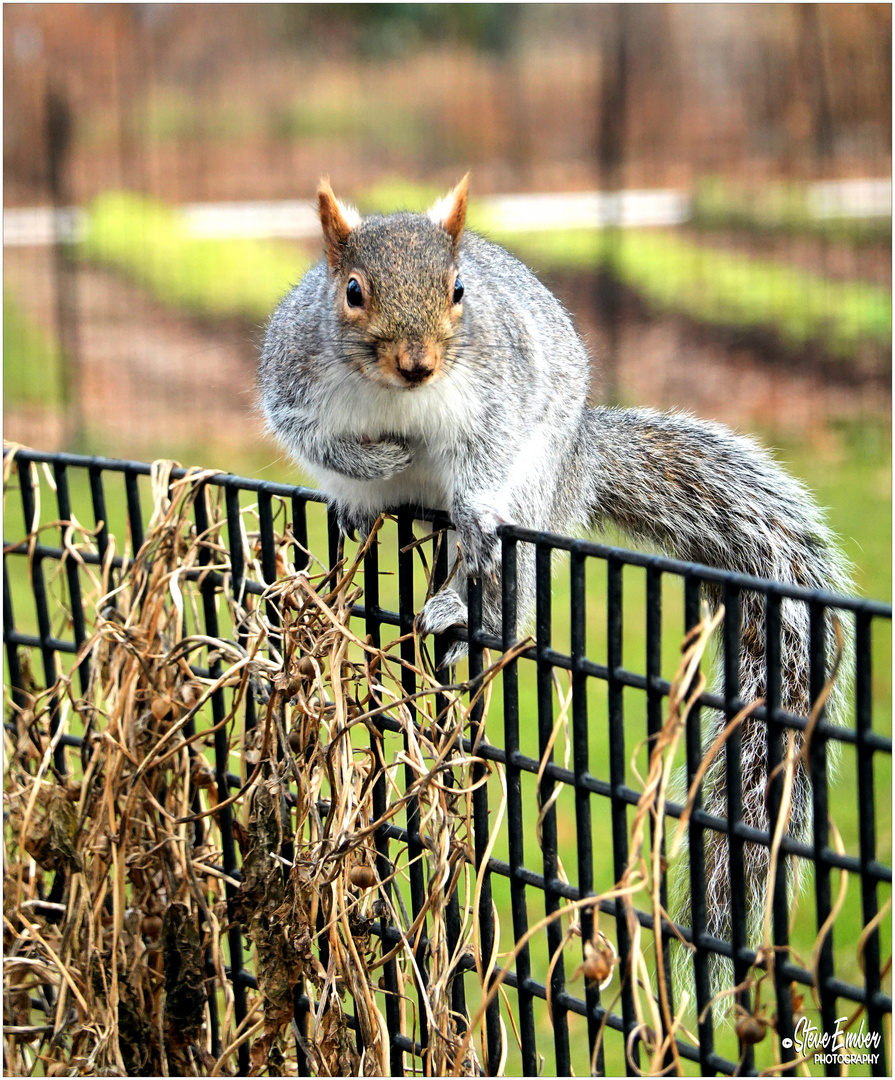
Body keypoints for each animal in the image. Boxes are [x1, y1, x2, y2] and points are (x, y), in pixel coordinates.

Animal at [258, 172, 850, 989]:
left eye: (458, 290)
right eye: (351, 292)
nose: (418, 364)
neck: (395, 399)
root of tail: (580, 461)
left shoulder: (493, 401)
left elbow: (483, 458)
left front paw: (465, 501)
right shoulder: (294, 381)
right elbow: (317, 439)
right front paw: (374, 461)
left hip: (534, 495)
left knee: (509, 581)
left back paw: (468, 607)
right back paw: (363, 510)